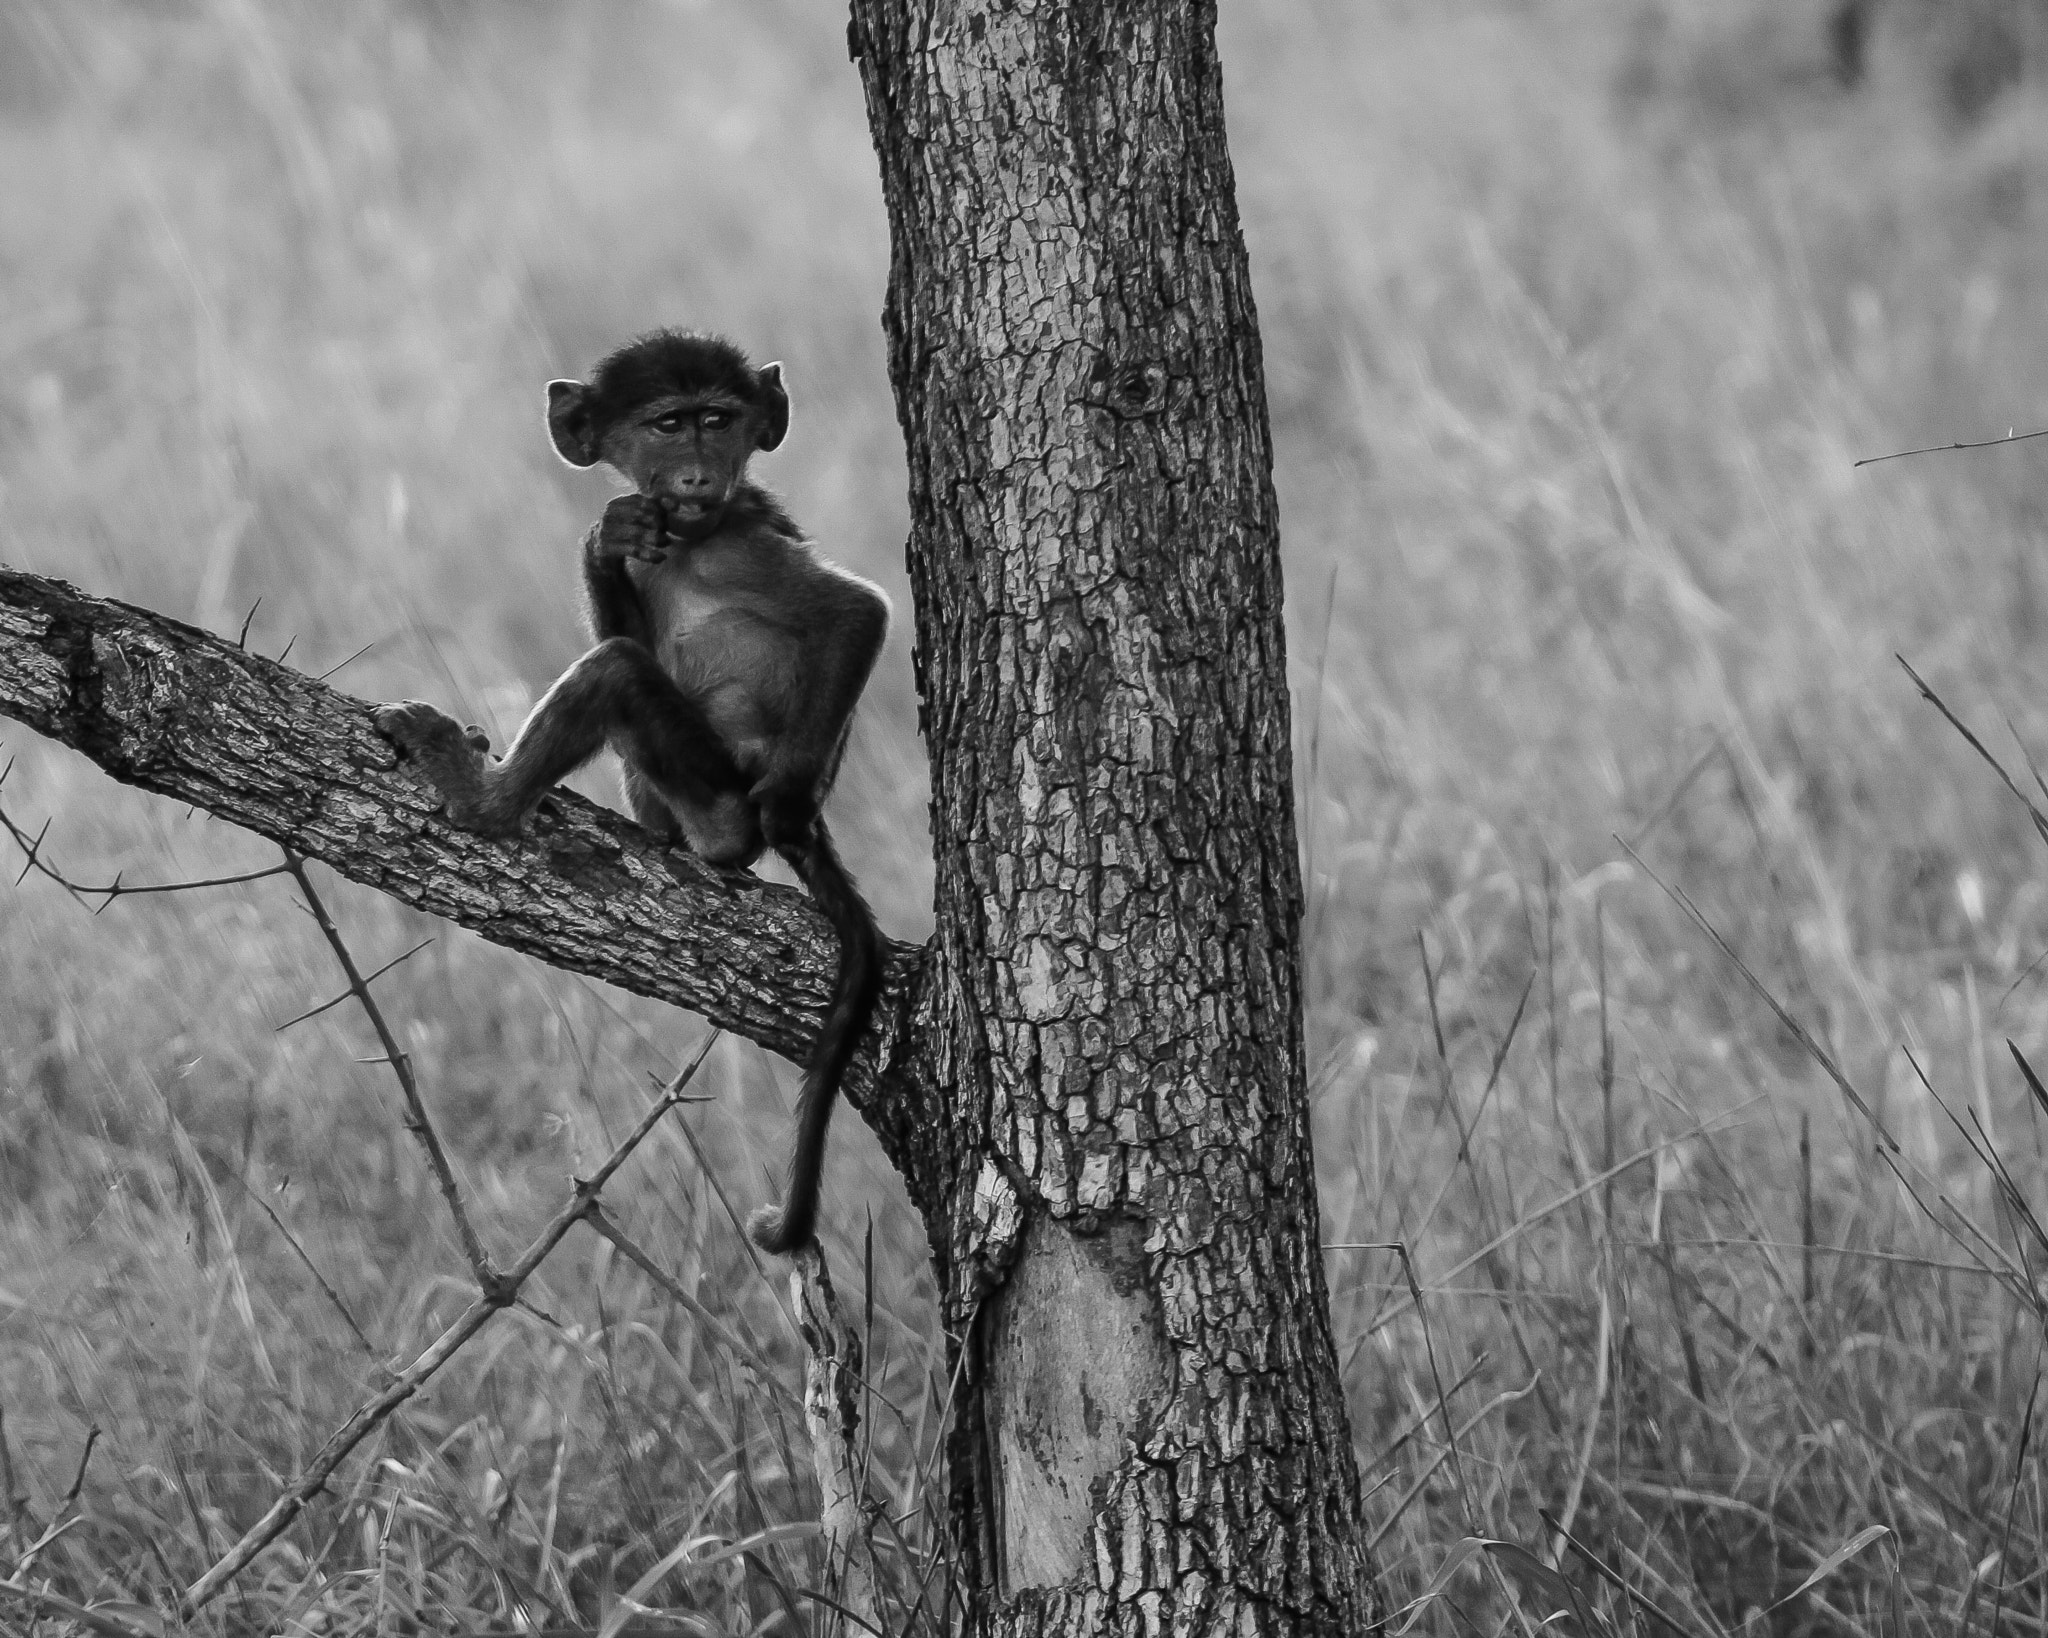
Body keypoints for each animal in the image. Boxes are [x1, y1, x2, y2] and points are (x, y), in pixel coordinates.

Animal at [374, 331, 890, 1256]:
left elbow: (854, 611)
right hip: (662, 791)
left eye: (717, 421)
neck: (692, 540)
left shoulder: (746, 545)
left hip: (711, 793)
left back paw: (480, 800)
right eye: (667, 425)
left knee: (615, 676)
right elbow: (624, 591)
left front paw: (790, 803)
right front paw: (605, 536)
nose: (693, 478)